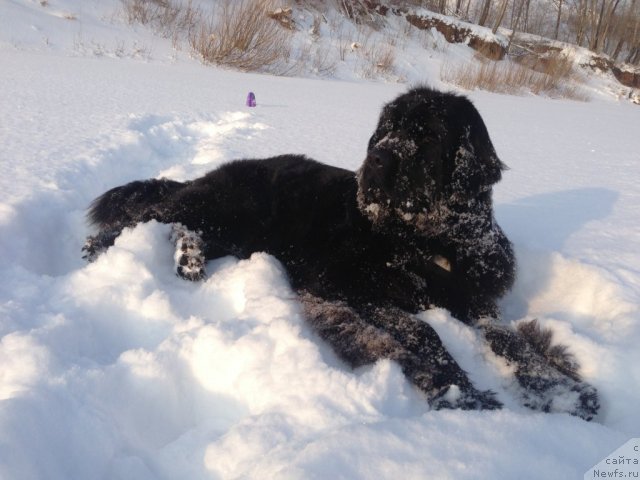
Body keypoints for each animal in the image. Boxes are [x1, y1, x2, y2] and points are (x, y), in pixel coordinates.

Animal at [84, 87, 600, 420]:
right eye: (386, 129)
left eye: (429, 136)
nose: (377, 159)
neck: (429, 242)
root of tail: (208, 174)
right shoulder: (339, 284)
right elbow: (422, 331)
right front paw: (459, 392)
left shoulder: (477, 301)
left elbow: (509, 340)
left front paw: (562, 391)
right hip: (225, 206)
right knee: (148, 219)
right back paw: (102, 248)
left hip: (233, 230)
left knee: (179, 226)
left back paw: (187, 258)